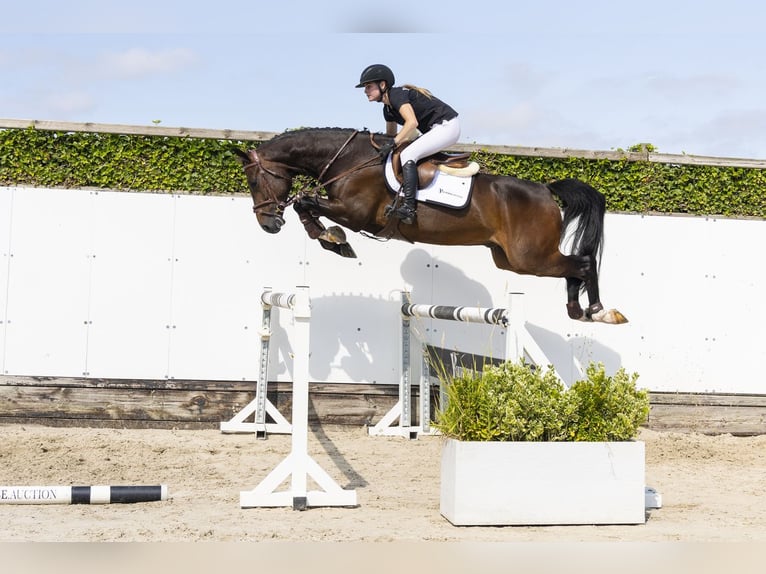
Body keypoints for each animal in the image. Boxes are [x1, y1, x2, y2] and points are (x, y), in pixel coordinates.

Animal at [232, 127, 626, 324]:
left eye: (253, 181)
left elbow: (304, 202)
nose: (268, 224)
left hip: (530, 257)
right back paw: (577, 311)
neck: (350, 160)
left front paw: (332, 238)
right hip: (510, 259)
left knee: (582, 263)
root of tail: (546, 189)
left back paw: (599, 311)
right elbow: (306, 205)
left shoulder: (357, 212)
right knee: (574, 266)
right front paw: (331, 238)